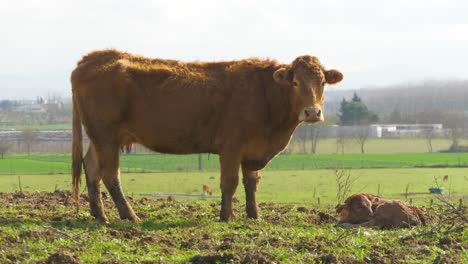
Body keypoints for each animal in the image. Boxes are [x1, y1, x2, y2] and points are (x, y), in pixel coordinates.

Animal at [72, 49, 344, 223]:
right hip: (107, 136)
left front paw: (253, 216)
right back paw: (130, 216)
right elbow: (229, 183)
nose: (312, 112)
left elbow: (252, 182)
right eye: (295, 82)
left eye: (322, 83)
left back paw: (100, 215)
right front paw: (226, 217)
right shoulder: (231, 147)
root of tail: (92, 58)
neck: (265, 95)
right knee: (110, 175)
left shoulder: (253, 148)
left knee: (92, 168)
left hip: (100, 138)